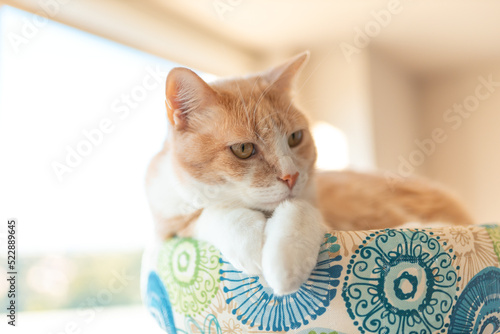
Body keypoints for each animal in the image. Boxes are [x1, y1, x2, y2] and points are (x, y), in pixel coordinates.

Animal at [146, 51, 472, 294]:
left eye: (295, 138)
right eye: (243, 149)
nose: (291, 177)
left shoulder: (317, 211)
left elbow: (298, 212)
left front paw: (283, 264)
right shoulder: (168, 229)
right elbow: (213, 213)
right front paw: (250, 247)